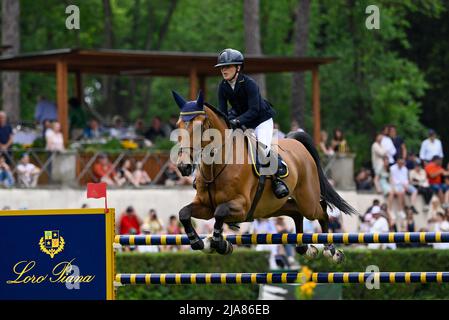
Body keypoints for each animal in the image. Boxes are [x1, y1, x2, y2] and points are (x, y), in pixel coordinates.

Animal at [172, 90, 356, 262]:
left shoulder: (242, 206)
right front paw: (199, 242)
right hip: (273, 206)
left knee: (322, 211)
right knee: (296, 212)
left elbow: (220, 212)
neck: (216, 166)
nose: (183, 166)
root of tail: (296, 143)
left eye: (199, 126)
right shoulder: (205, 206)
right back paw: (305, 248)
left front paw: (220, 244)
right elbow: (184, 213)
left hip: (307, 202)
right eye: (178, 124)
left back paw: (331, 251)